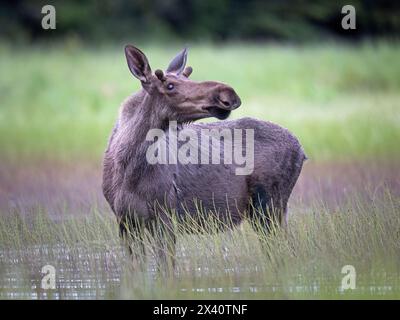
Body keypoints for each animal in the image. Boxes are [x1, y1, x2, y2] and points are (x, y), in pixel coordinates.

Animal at [101, 43, 306, 266]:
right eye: (169, 85)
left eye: (188, 77)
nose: (227, 93)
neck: (128, 168)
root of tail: (301, 150)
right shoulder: (125, 221)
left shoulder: (166, 216)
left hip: (270, 206)